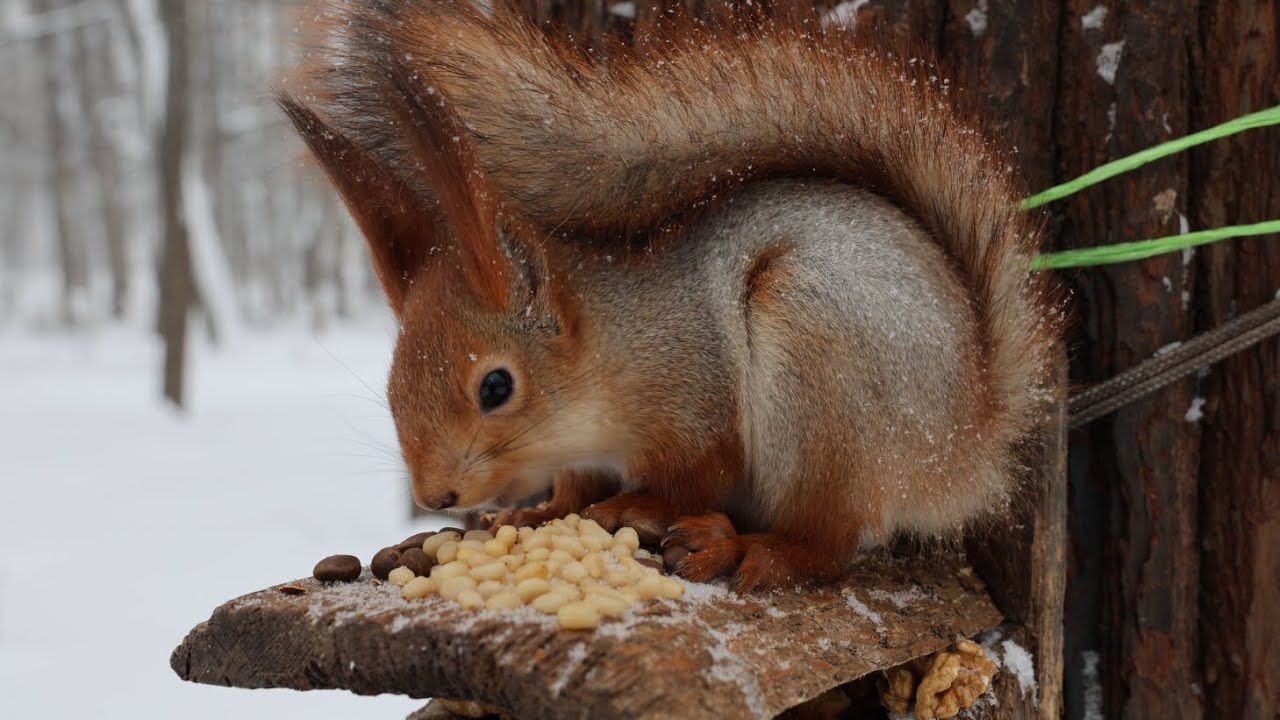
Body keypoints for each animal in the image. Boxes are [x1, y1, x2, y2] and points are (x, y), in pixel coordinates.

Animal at [279, 1, 1060, 590]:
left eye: (495, 387)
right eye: (391, 388)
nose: (435, 496)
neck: (607, 356)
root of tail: (968, 444)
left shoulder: (694, 394)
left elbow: (695, 473)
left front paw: (635, 505)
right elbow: (574, 490)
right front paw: (530, 517)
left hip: (822, 363)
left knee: (827, 540)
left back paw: (747, 550)